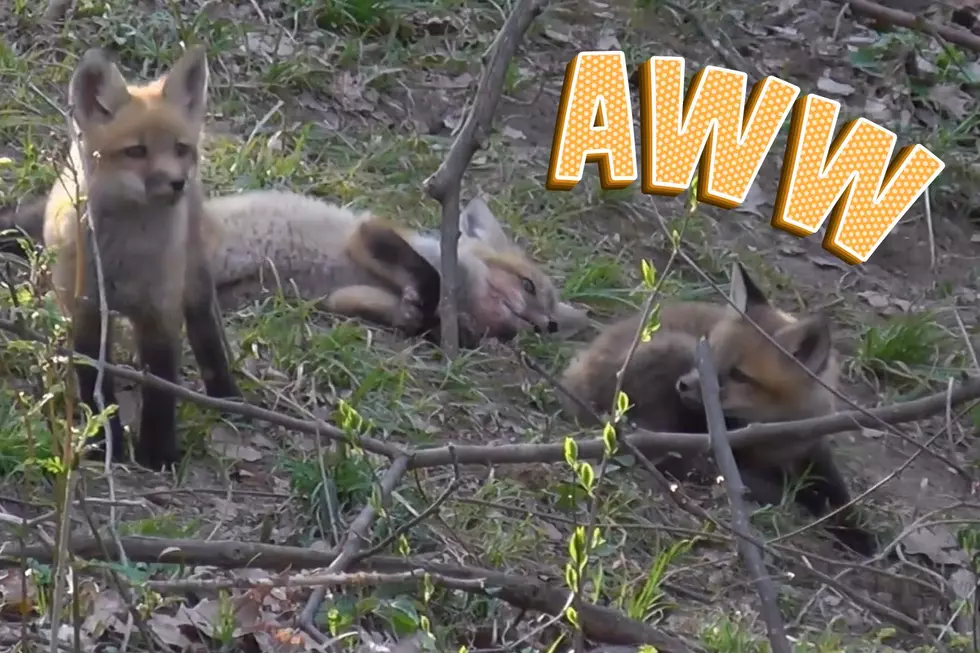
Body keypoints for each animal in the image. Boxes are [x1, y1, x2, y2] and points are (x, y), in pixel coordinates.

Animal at [40, 46, 240, 470]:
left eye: (179, 149)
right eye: (136, 151)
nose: (178, 183)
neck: (124, 258)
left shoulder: (159, 313)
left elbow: (162, 387)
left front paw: (158, 452)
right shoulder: (85, 312)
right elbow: (94, 385)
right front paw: (102, 443)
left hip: (193, 280)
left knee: (205, 327)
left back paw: (225, 393)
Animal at [200, 189, 591, 347]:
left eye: (551, 327)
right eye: (528, 286)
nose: (543, 324)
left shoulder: (343, 298)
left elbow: (409, 318)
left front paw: (419, 316)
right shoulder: (370, 233)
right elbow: (428, 277)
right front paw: (422, 299)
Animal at [560, 261, 877, 557]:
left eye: (739, 375)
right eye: (709, 354)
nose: (683, 385)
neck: (774, 437)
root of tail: (575, 374)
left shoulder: (812, 447)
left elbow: (840, 497)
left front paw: (858, 533)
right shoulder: (725, 446)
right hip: (679, 350)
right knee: (667, 456)